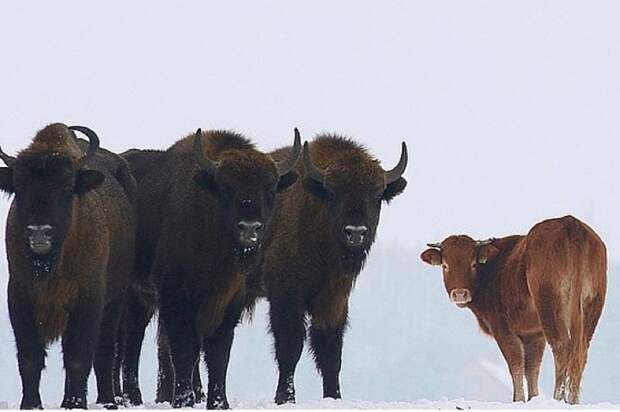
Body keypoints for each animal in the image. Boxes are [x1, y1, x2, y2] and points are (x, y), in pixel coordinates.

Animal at [0, 124, 135, 410]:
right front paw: (30, 404)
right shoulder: (19, 297)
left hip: (115, 300)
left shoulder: (88, 300)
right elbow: (30, 357)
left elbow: (79, 358)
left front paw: (76, 403)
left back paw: (107, 400)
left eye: (66, 186)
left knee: (104, 353)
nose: (39, 232)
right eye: (19, 187)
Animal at [119, 129, 302, 408]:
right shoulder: (176, 296)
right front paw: (183, 400)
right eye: (226, 187)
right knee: (127, 341)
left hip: (142, 298)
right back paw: (126, 397)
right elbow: (185, 349)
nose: (249, 228)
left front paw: (219, 402)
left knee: (133, 338)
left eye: (270, 188)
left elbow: (218, 353)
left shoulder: (230, 300)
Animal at [253, 134, 406, 402]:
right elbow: (290, 346)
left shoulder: (334, 299)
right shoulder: (285, 295)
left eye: (377, 194)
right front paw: (285, 398)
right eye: (333, 192)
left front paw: (334, 397)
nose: (355, 233)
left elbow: (330, 352)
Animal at [422, 216, 604, 406]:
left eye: (473, 264)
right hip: (591, 307)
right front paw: (533, 398)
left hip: (550, 307)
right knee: (581, 351)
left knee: (561, 346)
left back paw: (558, 398)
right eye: (445, 265)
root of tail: (570, 224)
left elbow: (515, 363)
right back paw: (573, 400)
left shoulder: (503, 329)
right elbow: (532, 367)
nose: (459, 293)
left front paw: (518, 399)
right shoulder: (534, 334)